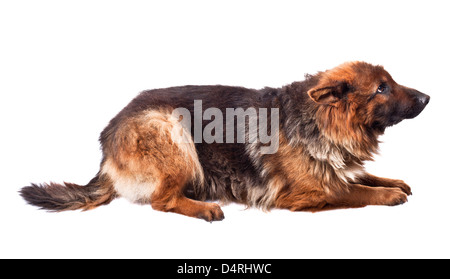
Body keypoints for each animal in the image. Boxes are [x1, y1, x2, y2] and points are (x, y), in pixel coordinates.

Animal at [20, 62, 428, 222]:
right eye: (382, 88)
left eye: (390, 81)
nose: (427, 97)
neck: (322, 120)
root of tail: (106, 145)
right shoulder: (307, 194)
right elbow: (352, 191)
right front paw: (388, 193)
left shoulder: (334, 167)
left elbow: (359, 176)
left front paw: (392, 180)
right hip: (174, 135)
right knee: (161, 201)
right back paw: (204, 208)